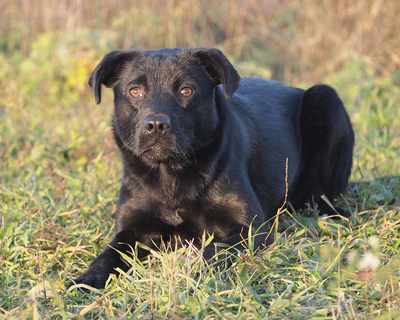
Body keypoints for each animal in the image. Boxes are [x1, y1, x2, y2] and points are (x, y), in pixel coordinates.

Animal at [73, 47, 354, 290]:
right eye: (135, 91)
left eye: (186, 91)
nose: (156, 125)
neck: (171, 177)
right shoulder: (131, 231)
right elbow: (107, 255)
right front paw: (86, 280)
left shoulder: (250, 229)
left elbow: (213, 250)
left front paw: (193, 276)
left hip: (324, 98)